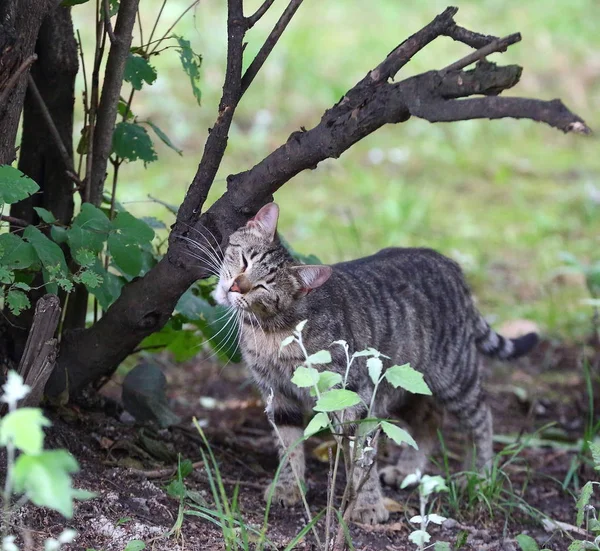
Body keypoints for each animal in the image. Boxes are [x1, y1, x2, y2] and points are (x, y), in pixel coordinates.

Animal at [212, 203, 540, 528]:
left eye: (264, 286)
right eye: (244, 260)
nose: (236, 287)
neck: (271, 332)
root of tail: (447, 262)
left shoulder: (353, 397)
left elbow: (361, 455)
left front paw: (368, 505)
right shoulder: (278, 394)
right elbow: (288, 447)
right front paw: (287, 488)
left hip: (455, 377)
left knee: (482, 417)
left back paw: (481, 475)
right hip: (406, 384)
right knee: (429, 418)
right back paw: (409, 469)